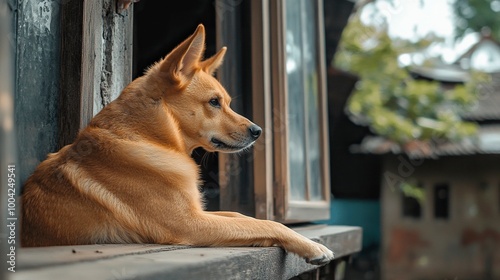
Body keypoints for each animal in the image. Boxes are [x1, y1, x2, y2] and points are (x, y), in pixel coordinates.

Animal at [20, 25, 332, 266]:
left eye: (227, 102)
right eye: (214, 102)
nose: (258, 131)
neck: (149, 138)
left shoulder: (199, 213)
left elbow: (244, 217)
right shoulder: (192, 224)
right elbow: (266, 222)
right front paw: (313, 246)